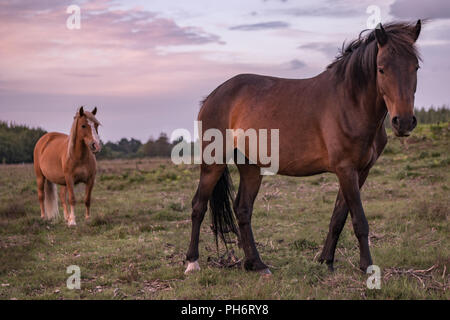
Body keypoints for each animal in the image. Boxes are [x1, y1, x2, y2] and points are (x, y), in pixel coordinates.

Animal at [185, 20, 424, 276]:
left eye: (415, 67)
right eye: (381, 69)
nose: (404, 122)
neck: (350, 102)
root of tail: (212, 96)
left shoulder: (360, 171)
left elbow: (338, 217)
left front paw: (326, 260)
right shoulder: (346, 169)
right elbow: (359, 221)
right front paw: (367, 266)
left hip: (251, 166)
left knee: (242, 209)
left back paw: (256, 264)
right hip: (213, 162)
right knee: (198, 206)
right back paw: (192, 262)